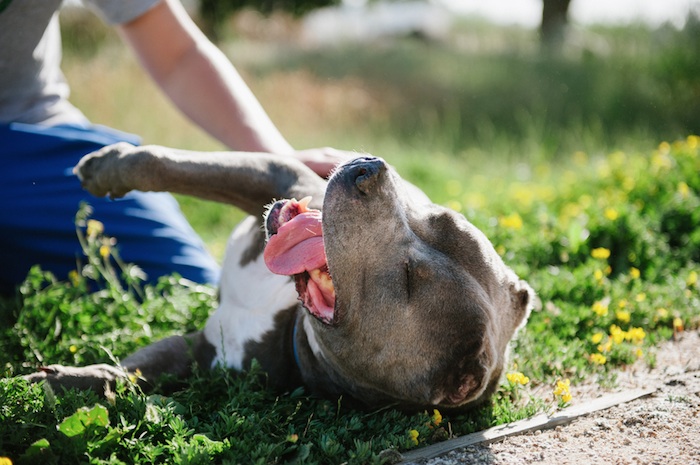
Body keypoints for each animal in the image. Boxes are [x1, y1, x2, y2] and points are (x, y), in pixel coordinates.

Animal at [24, 144, 532, 410]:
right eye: (433, 216)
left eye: (409, 280)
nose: (369, 168)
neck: (291, 319)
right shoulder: (283, 175)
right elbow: (172, 163)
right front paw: (106, 167)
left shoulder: (205, 353)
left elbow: (131, 374)